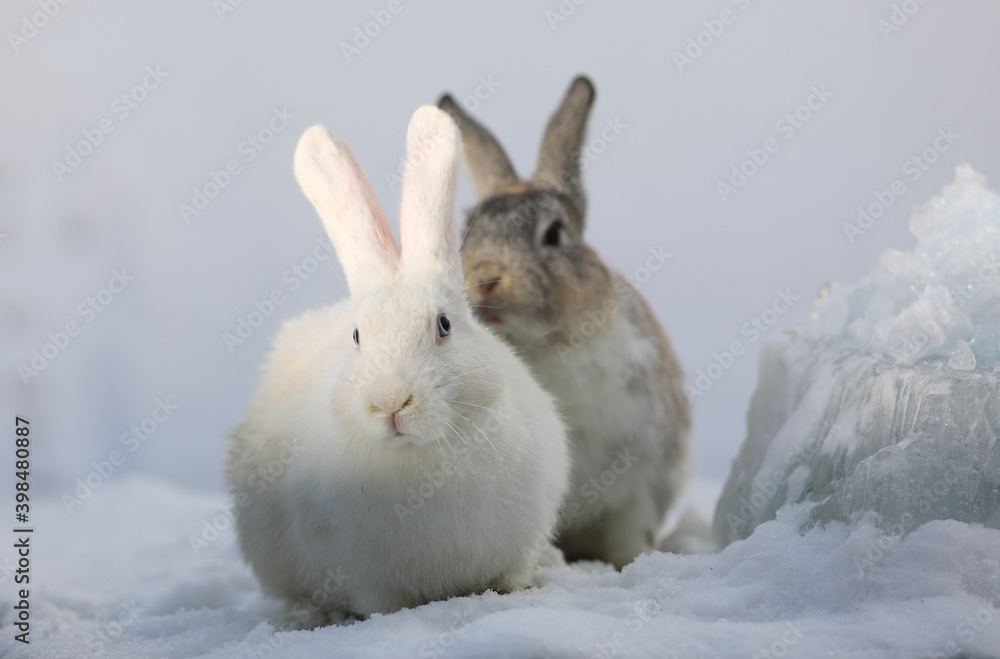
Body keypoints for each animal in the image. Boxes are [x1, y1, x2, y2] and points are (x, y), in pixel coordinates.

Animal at [225, 106, 570, 626]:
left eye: (444, 325)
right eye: (356, 337)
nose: (390, 402)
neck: (420, 459)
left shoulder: (519, 543)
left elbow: (511, 577)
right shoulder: (364, 578)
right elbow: (379, 604)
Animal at [438, 76, 691, 569]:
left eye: (554, 234)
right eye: (466, 237)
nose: (486, 279)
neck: (541, 345)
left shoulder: (640, 486)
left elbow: (629, 533)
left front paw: (632, 562)